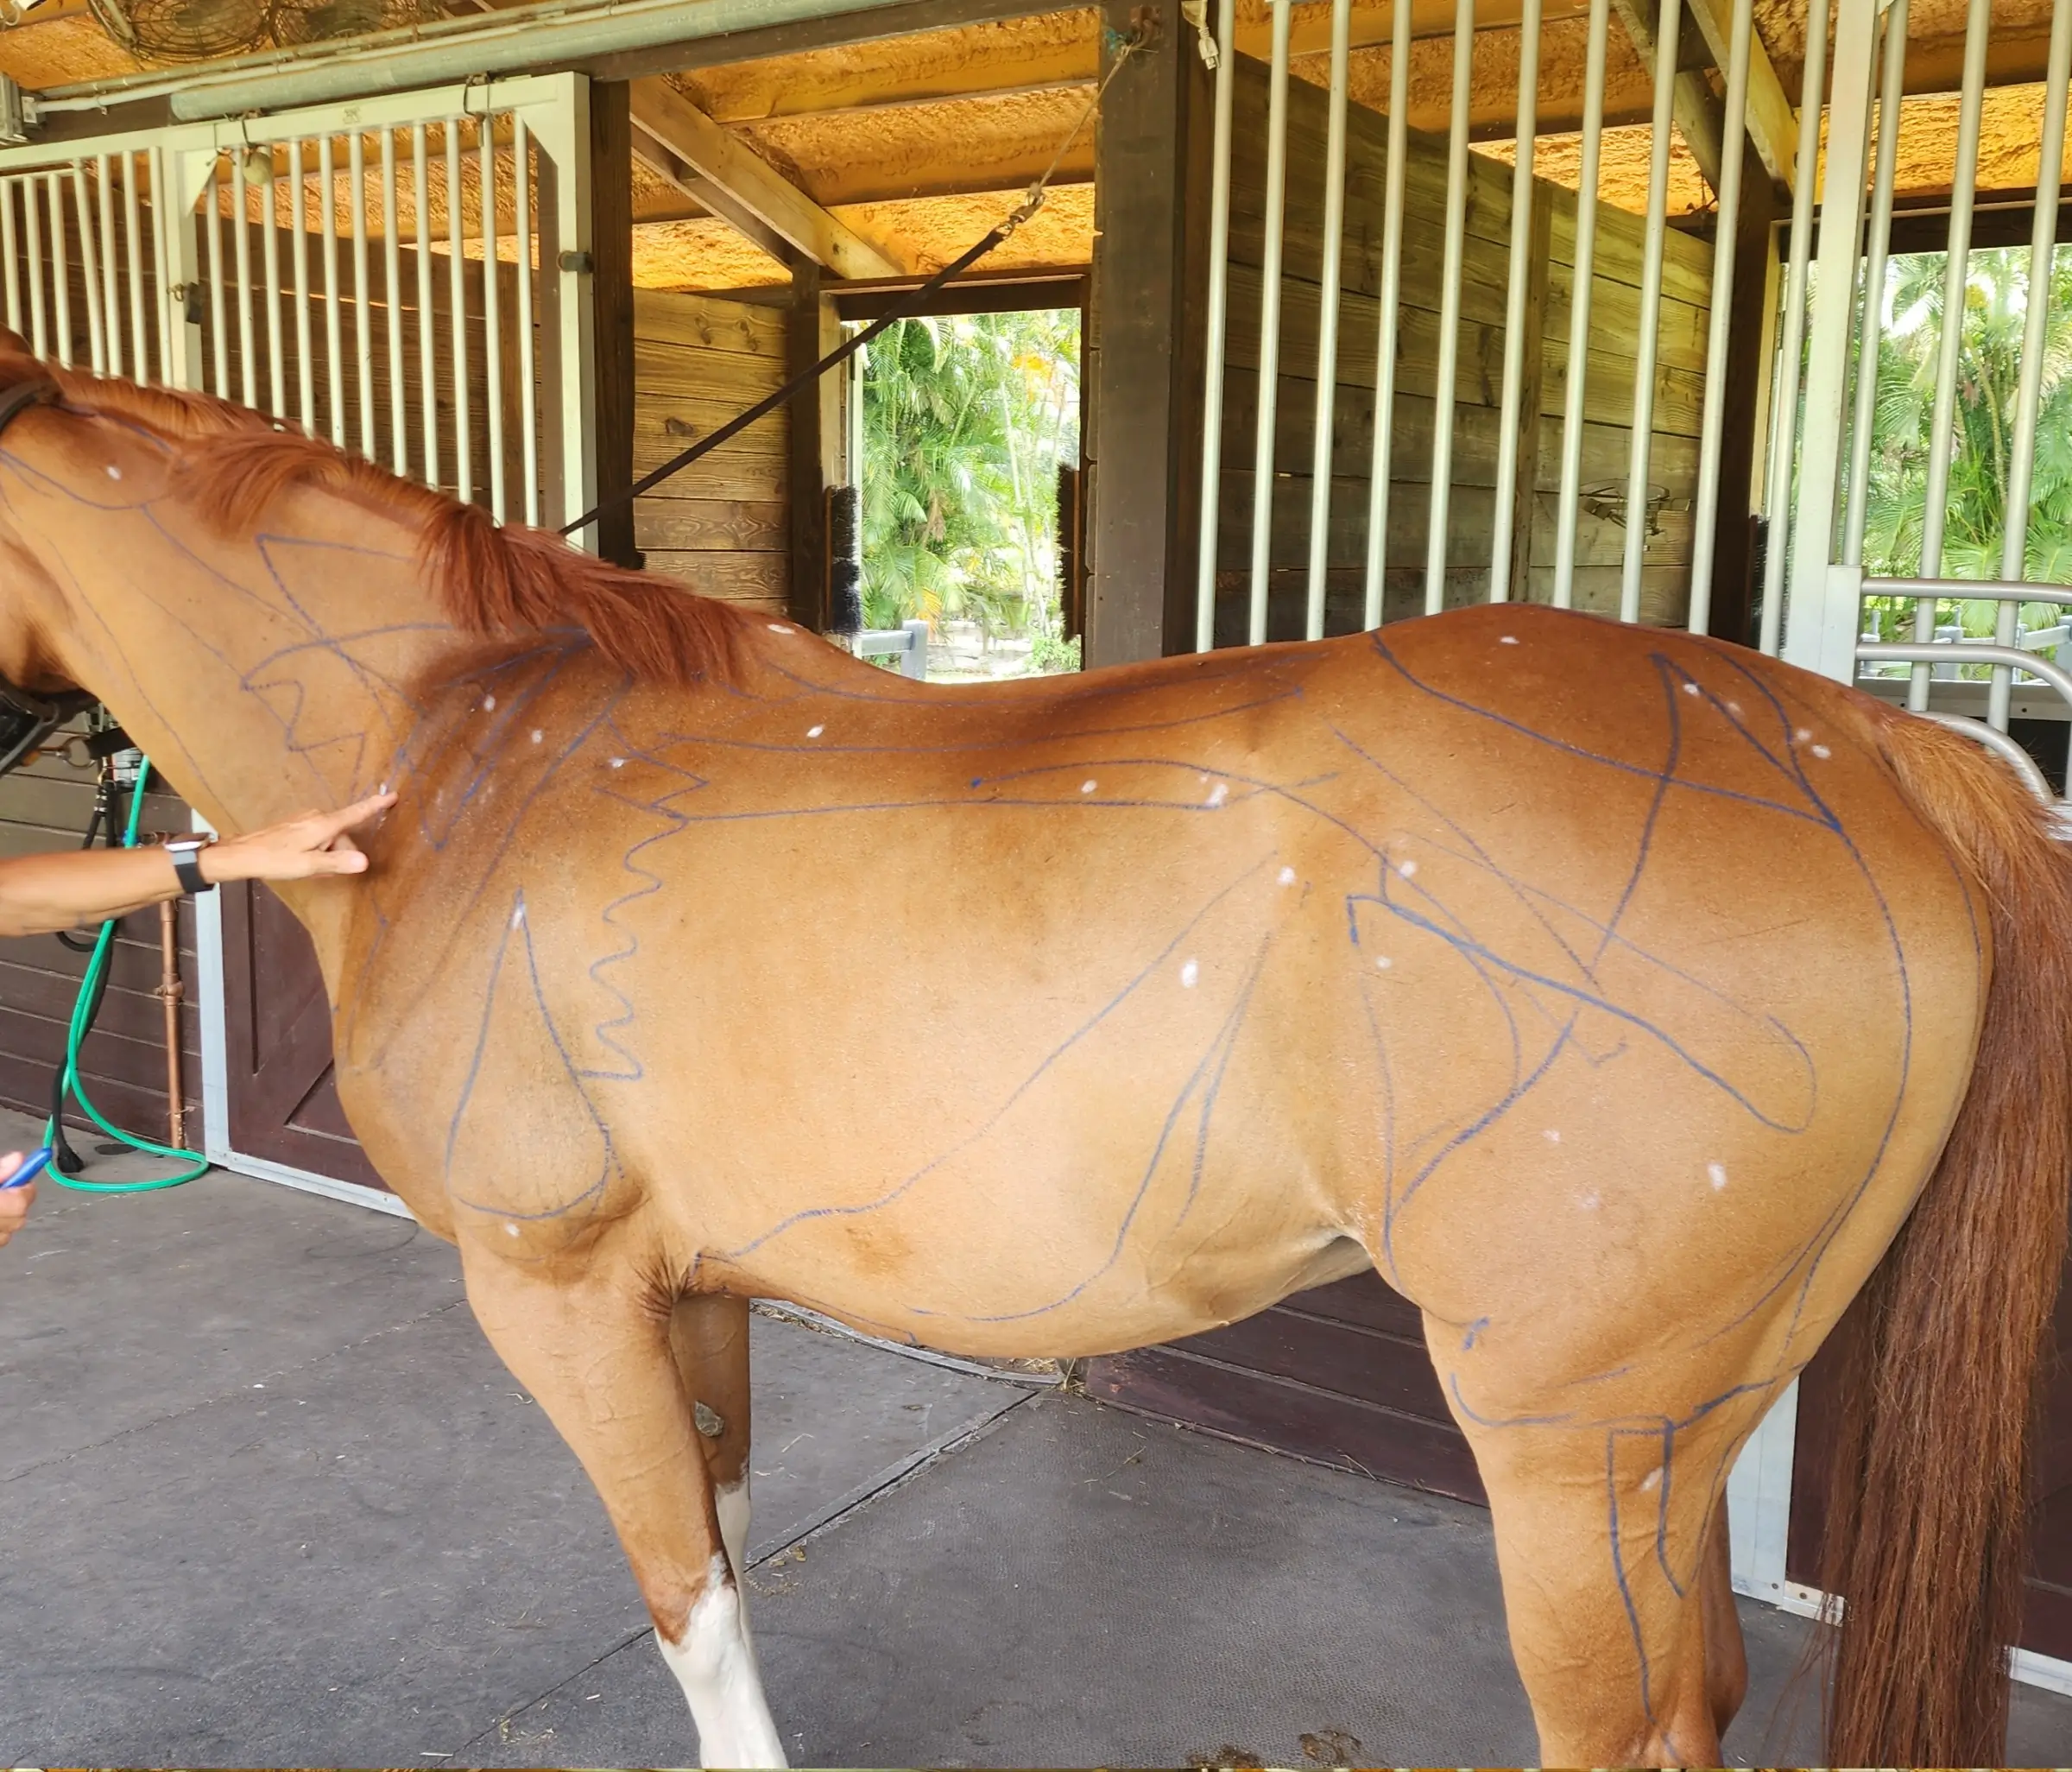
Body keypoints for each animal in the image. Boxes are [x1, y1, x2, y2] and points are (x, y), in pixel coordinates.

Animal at [0, 346, 2064, 1770]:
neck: (458, 741)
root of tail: (1865, 747)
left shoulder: (555, 1292)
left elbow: (679, 1597)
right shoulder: (693, 1288)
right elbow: (724, 1550)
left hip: (1579, 1453)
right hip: (1682, 1439)